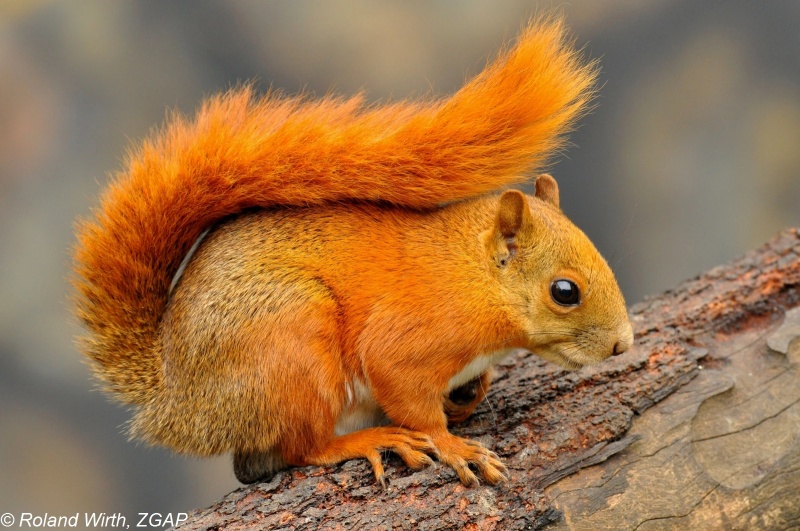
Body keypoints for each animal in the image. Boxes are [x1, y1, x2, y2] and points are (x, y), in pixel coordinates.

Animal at [72, 18, 633, 488]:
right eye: (565, 291)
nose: (623, 344)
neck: (469, 275)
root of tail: (174, 397)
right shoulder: (406, 339)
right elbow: (407, 393)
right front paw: (453, 446)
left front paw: (472, 392)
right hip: (292, 341)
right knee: (302, 449)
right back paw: (370, 440)